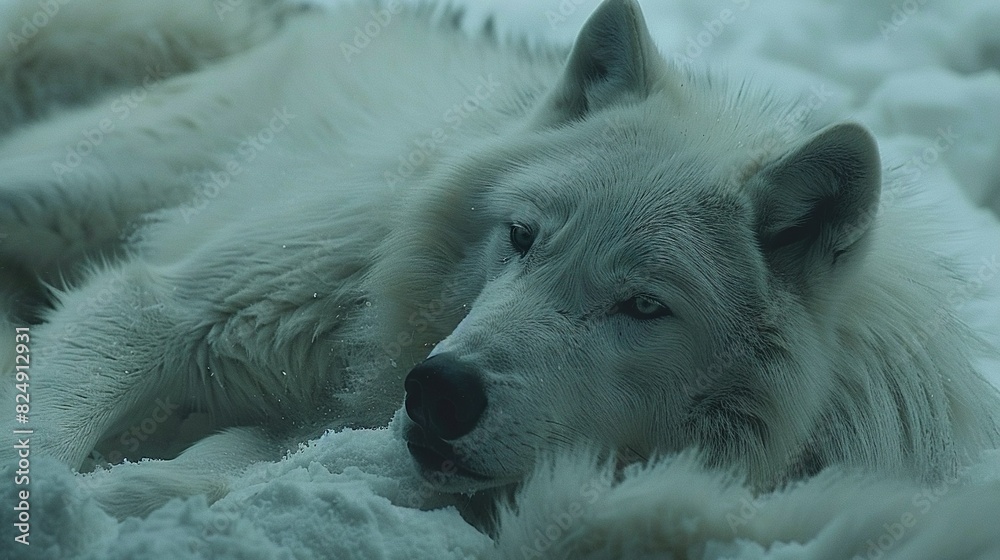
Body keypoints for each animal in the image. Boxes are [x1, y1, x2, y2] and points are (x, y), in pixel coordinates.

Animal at [1, 0, 1000, 520]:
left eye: (644, 306)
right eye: (522, 236)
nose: (439, 390)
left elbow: (216, 466)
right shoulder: (176, 308)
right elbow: (50, 428)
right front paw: (54, 503)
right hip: (70, 191)